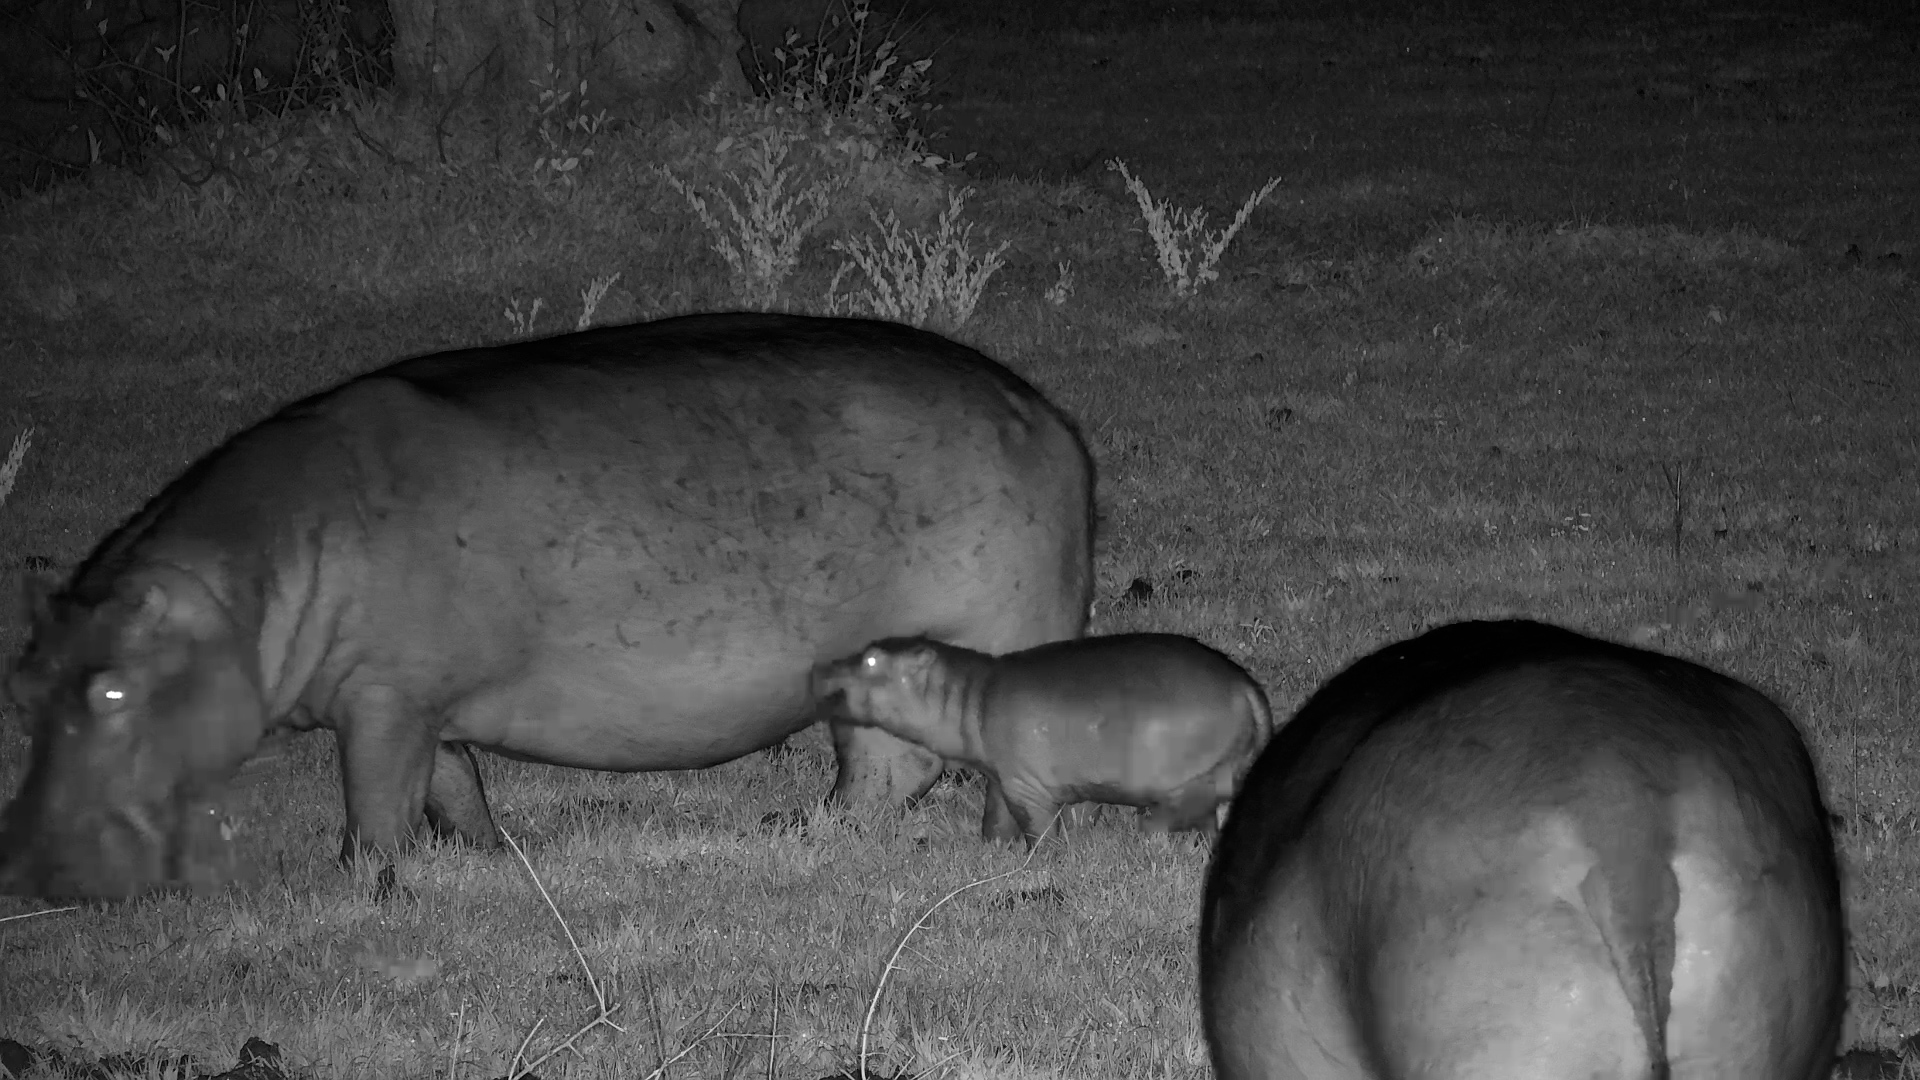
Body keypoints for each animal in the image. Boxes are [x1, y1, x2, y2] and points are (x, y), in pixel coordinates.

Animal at [0, 313, 1094, 898]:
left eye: (108, 692)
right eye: (22, 682)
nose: (20, 865)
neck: (249, 581)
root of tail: (1044, 413)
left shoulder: (385, 699)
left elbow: (376, 804)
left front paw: (361, 885)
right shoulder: (414, 705)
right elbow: (450, 787)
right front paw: (488, 856)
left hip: (1006, 637)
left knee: (994, 763)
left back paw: (1001, 856)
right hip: (871, 662)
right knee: (883, 768)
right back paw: (798, 835)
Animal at [811, 633, 1272, 848]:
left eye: (872, 659)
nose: (820, 666)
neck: (967, 695)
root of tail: (1245, 688)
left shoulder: (1025, 785)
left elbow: (1036, 827)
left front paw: (1038, 858)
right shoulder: (1007, 776)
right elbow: (1001, 818)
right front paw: (996, 849)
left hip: (1191, 779)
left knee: (1185, 811)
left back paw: (1150, 834)